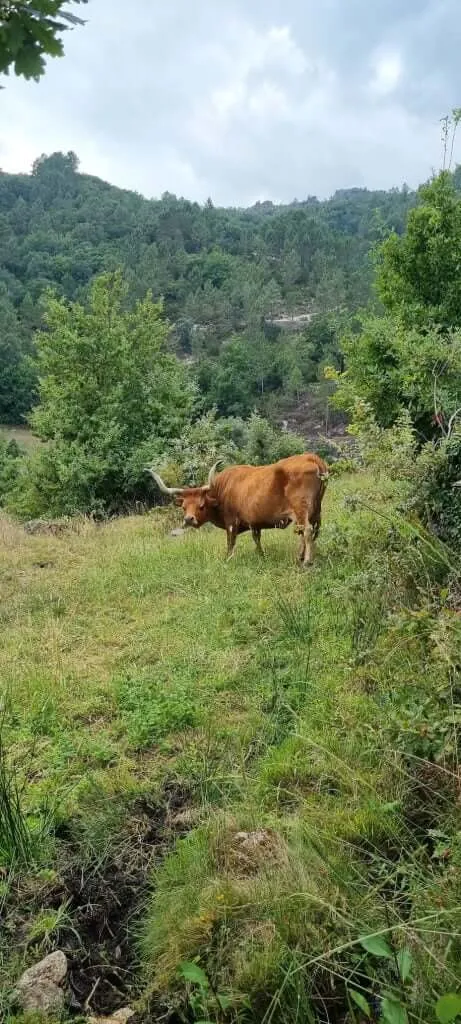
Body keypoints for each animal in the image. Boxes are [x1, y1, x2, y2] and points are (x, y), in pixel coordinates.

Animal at [146, 453, 329, 566]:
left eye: (201, 505)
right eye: (184, 507)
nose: (189, 519)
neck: (222, 490)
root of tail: (311, 457)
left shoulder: (231, 523)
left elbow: (230, 543)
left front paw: (228, 559)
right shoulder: (254, 523)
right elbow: (257, 539)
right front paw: (261, 555)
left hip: (301, 509)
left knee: (306, 530)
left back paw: (306, 561)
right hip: (316, 510)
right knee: (313, 531)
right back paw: (302, 556)